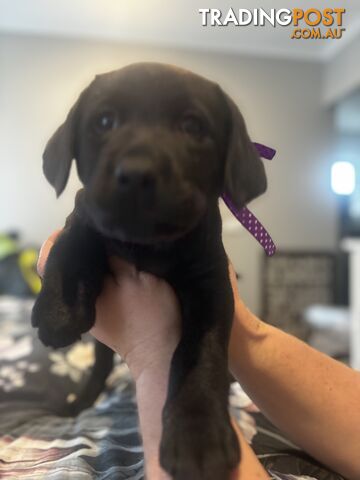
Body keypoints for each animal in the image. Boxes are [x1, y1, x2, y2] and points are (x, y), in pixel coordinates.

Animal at [31, 63, 268, 480]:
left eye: (193, 126)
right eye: (104, 121)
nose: (137, 173)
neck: (145, 245)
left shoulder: (211, 285)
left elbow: (200, 356)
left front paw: (197, 435)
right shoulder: (86, 206)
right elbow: (74, 236)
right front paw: (58, 310)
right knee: (100, 367)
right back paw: (80, 400)